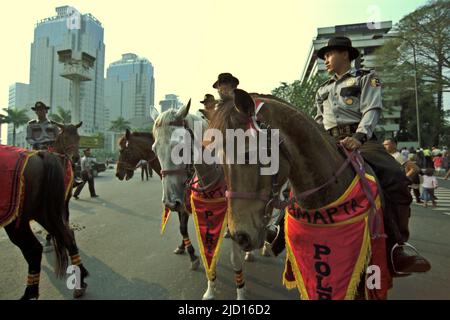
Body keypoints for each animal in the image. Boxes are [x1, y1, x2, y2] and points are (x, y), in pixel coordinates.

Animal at [116, 130, 200, 270]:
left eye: (123, 151)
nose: (117, 173)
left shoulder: (183, 204)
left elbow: (183, 228)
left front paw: (192, 255)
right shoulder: (177, 203)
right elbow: (182, 227)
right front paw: (182, 247)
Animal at [153, 102, 248, 300]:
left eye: (180, 148)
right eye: (154, 150)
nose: (170, 202)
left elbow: (235, 259)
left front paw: (241, 292)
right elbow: (202, 246)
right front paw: (210, 288)